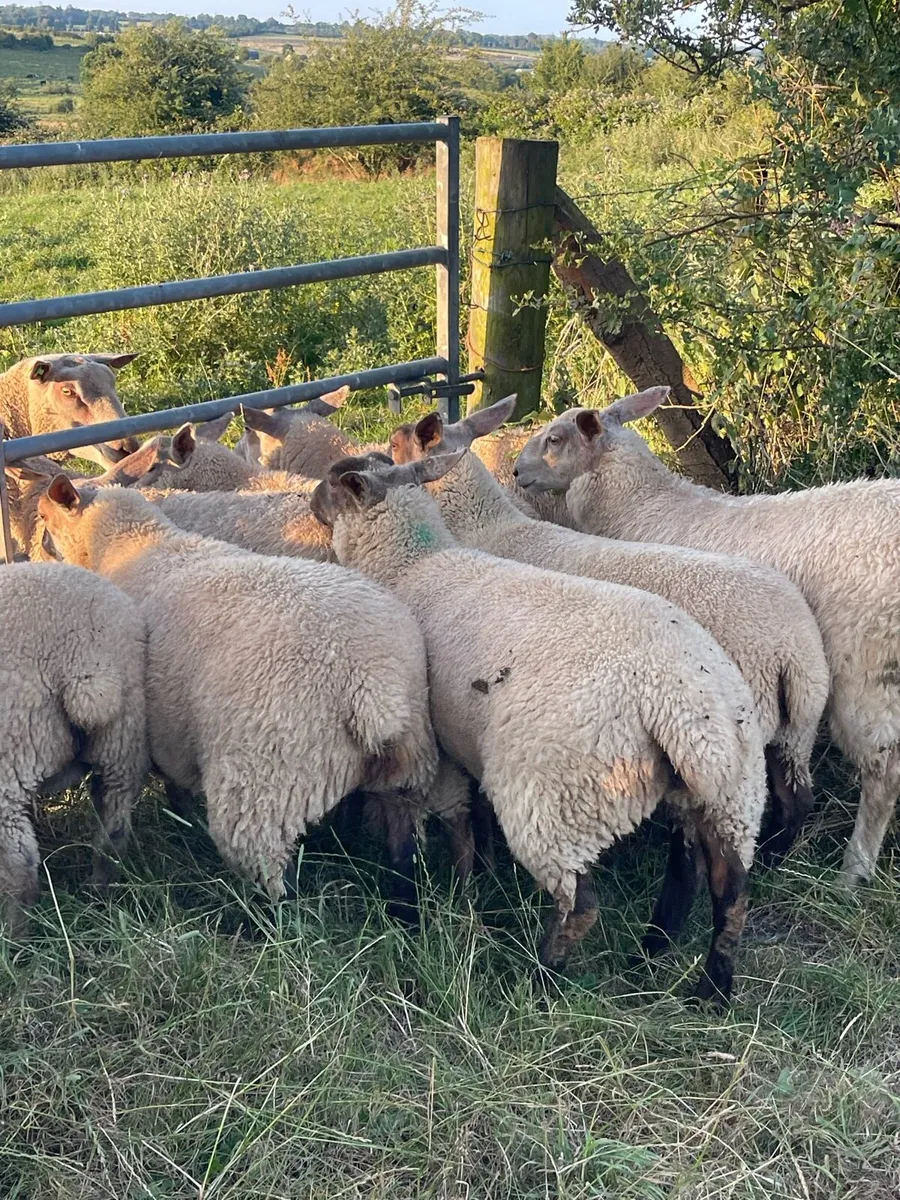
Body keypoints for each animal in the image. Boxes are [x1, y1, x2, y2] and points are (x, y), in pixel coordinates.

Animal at [0, 560, 147, 934]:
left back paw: (14, 937)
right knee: (113, 833)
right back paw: (99, 897)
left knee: (20, 867)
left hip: (10, 753)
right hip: (123, 741)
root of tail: (86, 657)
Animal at [37, 478, 438, 913]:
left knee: (276, 878)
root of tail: (373, 685)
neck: (131, 546)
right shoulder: (174, 726)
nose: (40, 547)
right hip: (408, 767)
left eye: (43, 515)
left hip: (264, 784)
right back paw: (404, 911)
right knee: (404, 851)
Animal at [310, 451, 769, 1004]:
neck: (412, 564)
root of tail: (678, 703)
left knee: (582, 904)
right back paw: (695, 980)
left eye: (335, 484)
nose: (309, 501)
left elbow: (451, 819)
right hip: (730, 792)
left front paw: (458, 890)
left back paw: (541, 979)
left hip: (557, 799)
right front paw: (478, 881)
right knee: (723, 889)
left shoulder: (434, 746)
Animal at [392, 398, 830, 863]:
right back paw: (778, 855)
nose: (516, 472)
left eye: (396, 446)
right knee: (795, 793)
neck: (484, 525)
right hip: (797, 724)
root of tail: (790, 648)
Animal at [514, 386, 900, 887]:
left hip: (867, 669)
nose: (516, 471)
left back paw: (853, 871)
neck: (644, 504)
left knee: (884, 771)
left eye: (555, 438)